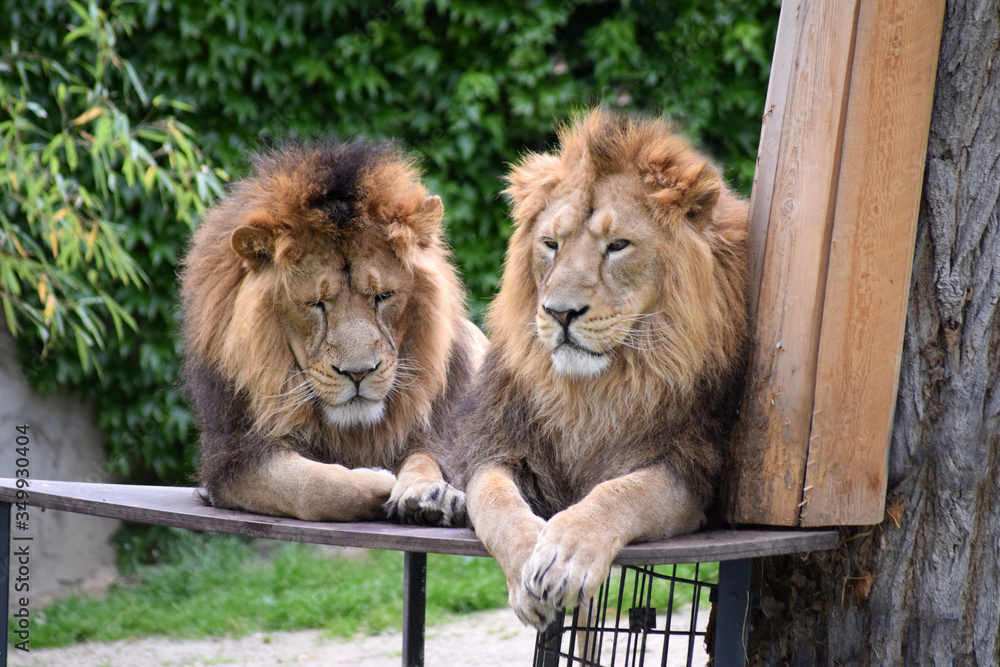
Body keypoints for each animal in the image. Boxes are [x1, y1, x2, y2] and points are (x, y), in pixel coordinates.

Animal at [180, 140, 486, 526]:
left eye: (382, 296)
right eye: (316, 304)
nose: (358, 373)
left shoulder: (444, 433)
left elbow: (425, 458)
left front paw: (428, 493)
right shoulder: (233, 460)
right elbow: (310, 487)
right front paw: (381, 478)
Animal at [458, 109, 749, 629]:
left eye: (617, 245)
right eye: (550, 244)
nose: (559, 313)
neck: (594, 390)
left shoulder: (690, 465)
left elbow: (622, 492)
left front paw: (564, 553)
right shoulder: (496, 444)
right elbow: (496, 504)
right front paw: (531, 558)